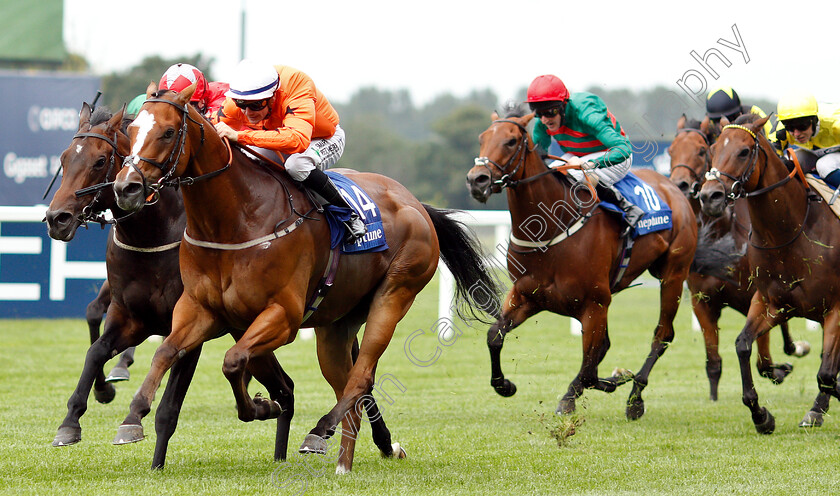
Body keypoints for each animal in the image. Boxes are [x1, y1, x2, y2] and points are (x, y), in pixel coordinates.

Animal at [109, 82, 498, 472]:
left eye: (168, 132)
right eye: (131, 131)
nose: (126, 187)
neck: (235, 219)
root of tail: (417, 205)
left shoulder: (283, 316)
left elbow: (233, 361)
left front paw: (263, 405)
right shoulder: (200, 310)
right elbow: (166, 351)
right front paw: (132, 418)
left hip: (395, 293)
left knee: (362, 377)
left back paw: (320, 431)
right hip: (336, 324)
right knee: (349, 385)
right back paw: (344, 463)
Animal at [466, 108, 696, 418]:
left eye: (511, 141)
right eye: (482, 138)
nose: (477, 179)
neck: (551, 228)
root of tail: (673, 186)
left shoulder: (594, 303)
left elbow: (589, 369)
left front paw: (603, 384)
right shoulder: (528, 296)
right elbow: (494, 335)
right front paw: (505, 385)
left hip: (673, 274)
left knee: (662, 334)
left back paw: (635, 399)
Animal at [668, 114, 812, 402]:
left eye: (701, 151)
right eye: (671, 150)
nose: (680, 185)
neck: (721, 237)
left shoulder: (757, 297)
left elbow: (764, 361)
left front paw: (781, 369)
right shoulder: (703, 302)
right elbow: (714, 363)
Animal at [700, 114, 840, 432]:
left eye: (743, 151)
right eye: (712, 150)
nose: (709, 196)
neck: (790, 232)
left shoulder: (836, 308)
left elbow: (826, 373)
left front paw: (816, 409)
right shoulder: (770, 302)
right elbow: (743, 345)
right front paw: (761, 415)